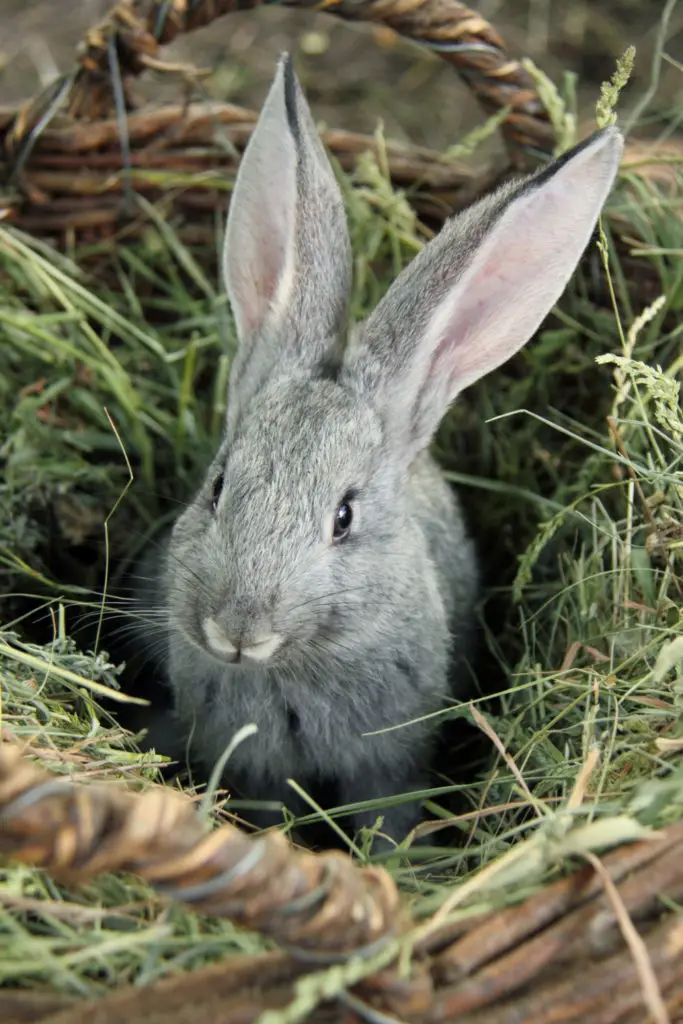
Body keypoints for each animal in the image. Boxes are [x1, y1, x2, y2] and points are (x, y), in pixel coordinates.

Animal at [145, 51, 626, 843]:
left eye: (344, 518)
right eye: (217, 487)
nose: (238, 629)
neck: (292, 666)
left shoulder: (392, 761)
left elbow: (387, 813)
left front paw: (387, 859)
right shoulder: (255, 766)